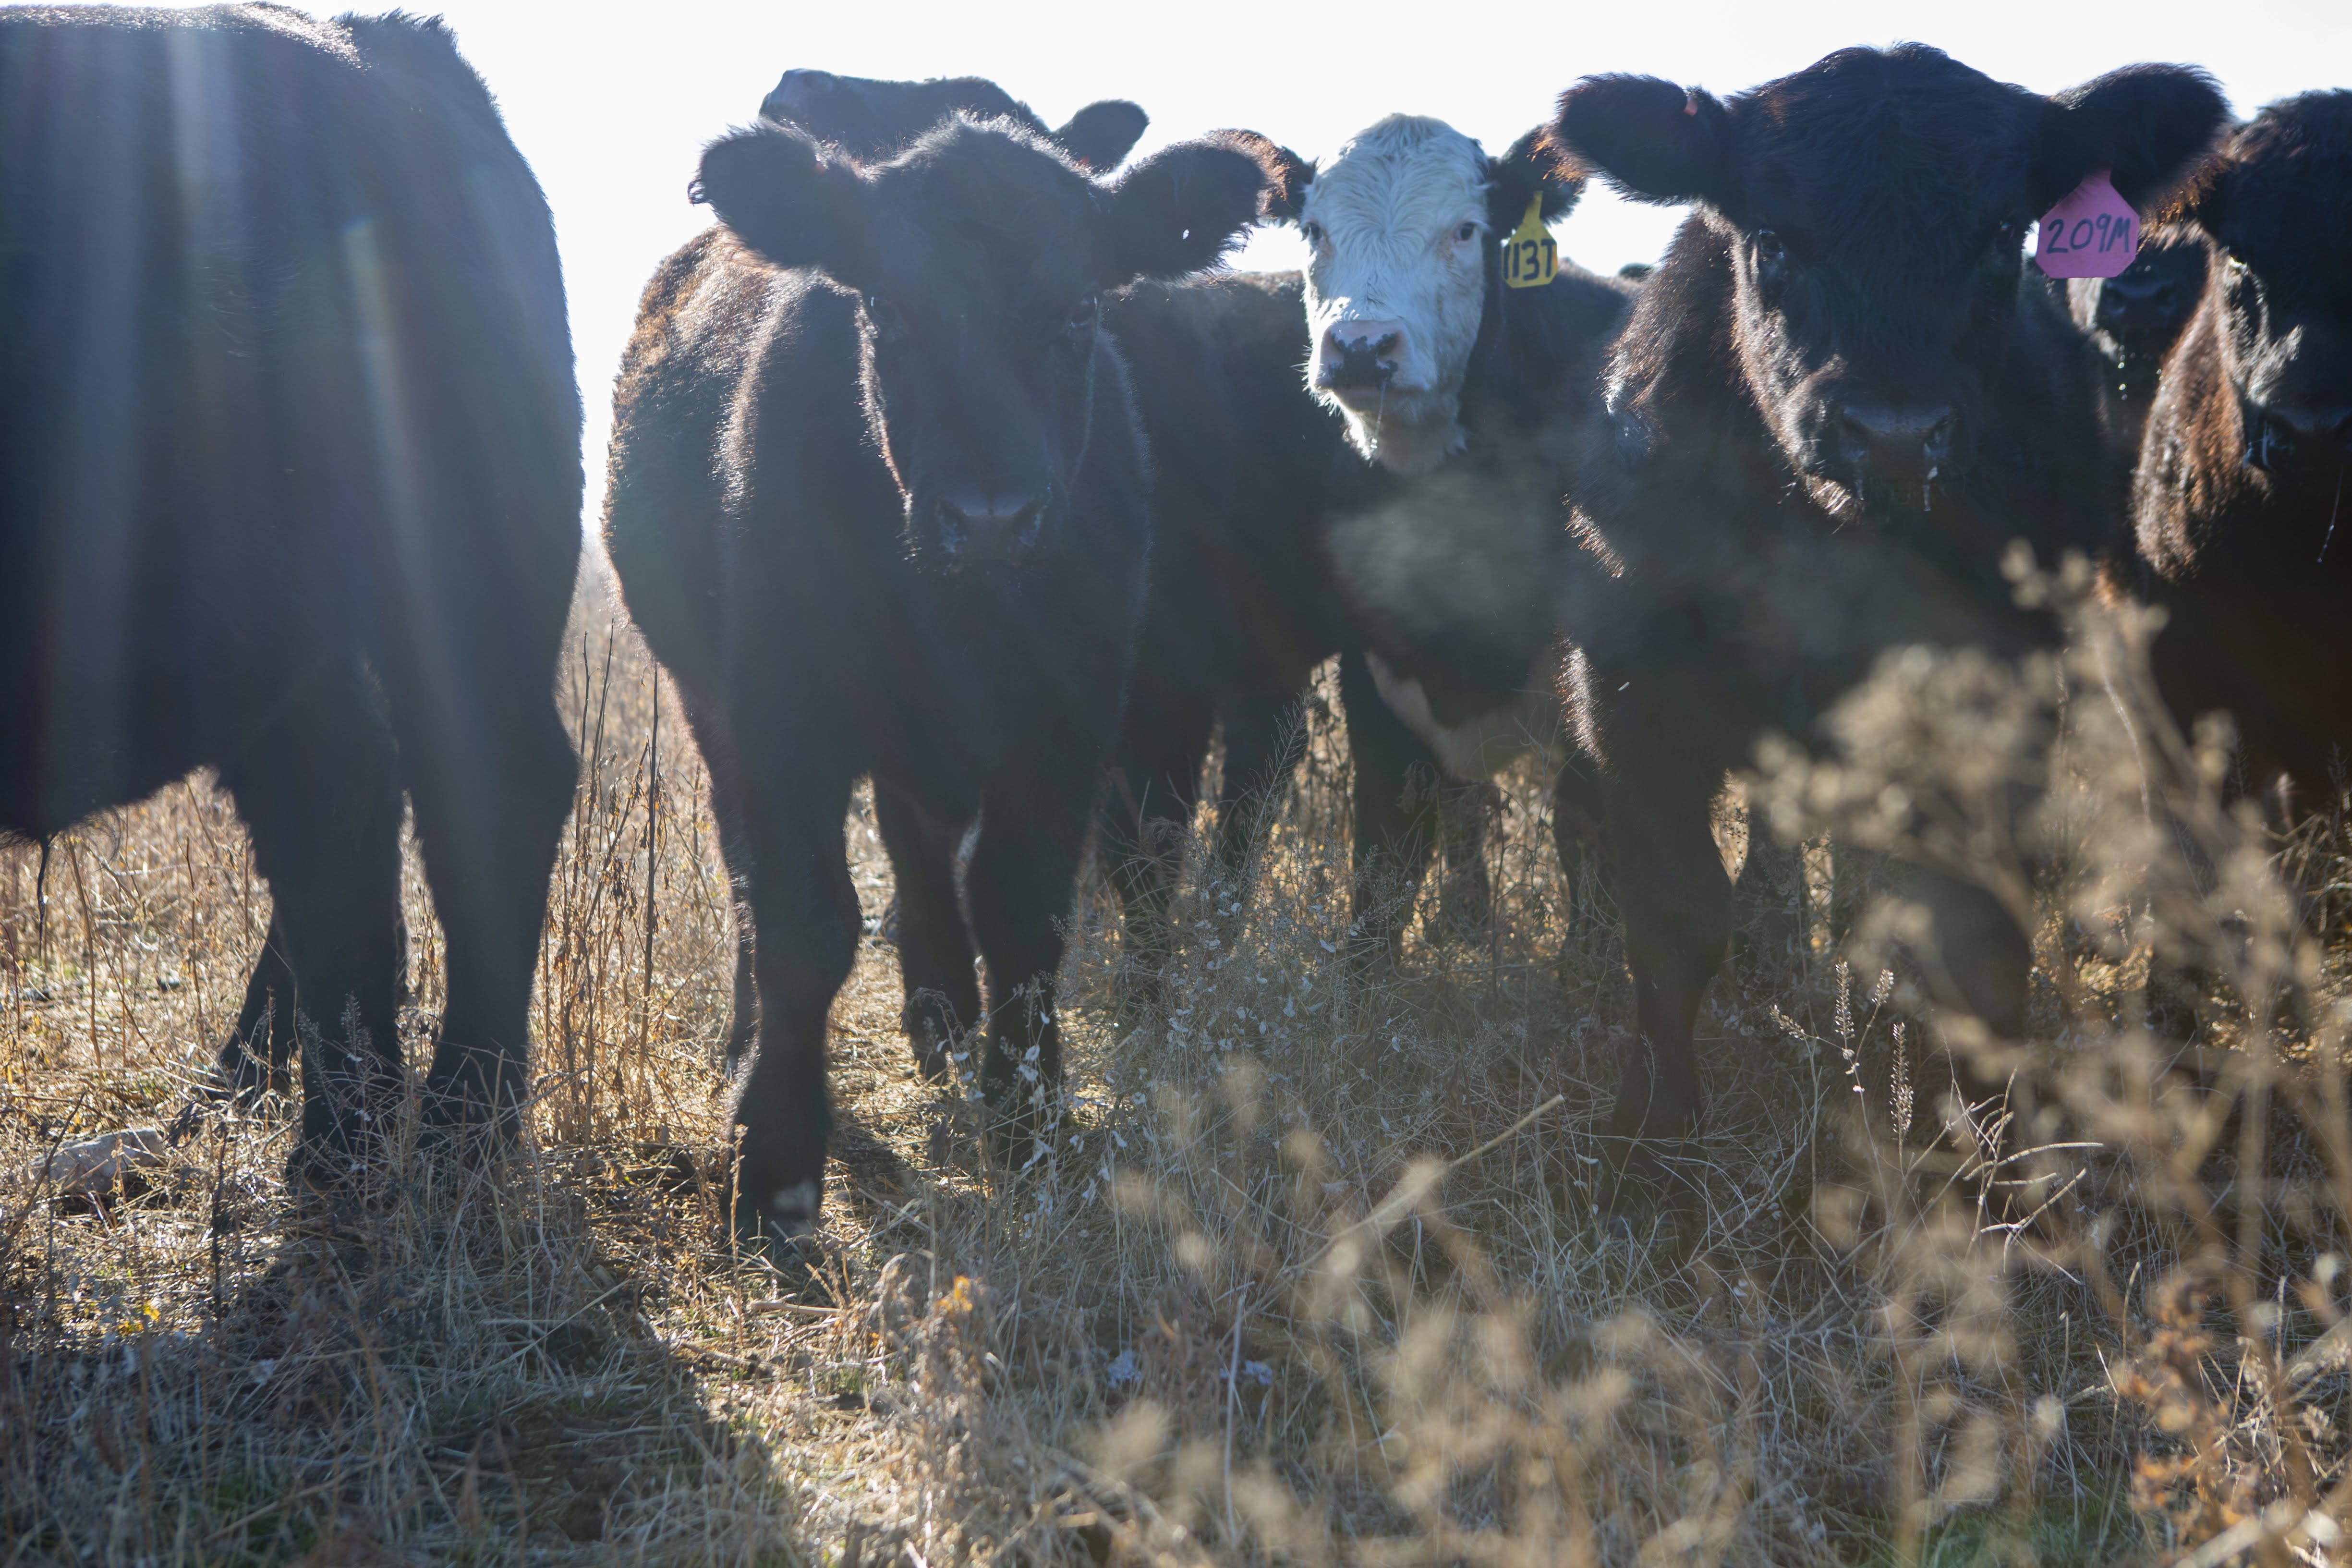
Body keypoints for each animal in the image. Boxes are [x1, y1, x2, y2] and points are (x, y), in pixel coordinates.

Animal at [601, 114, 1270, 1250]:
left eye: (1081, 308)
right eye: (886, 308)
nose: (989, 517)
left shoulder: (1072, 715)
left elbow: (1022, 908)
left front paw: (1028, 1115)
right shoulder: (781, 710)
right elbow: (801, 921)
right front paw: (774, 1156)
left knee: (919, 846)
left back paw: (942, 1013)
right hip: (712, 707)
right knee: (751, 878)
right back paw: (758, 1038)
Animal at [1544, 47, 2227, 1203]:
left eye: (1999, 237)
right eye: (1773, 239)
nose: (1894, 432)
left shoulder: (1995, 707)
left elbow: (1972, 941)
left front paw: (1986, 1147)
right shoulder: (1629, 693)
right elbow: (1676, 919)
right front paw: (1650, 1144)